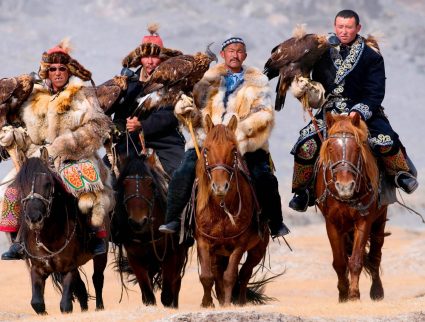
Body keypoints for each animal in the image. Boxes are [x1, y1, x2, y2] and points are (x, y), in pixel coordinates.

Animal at [14, 150, 107, 314]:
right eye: (21, 185)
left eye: (47, 184)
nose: (34, 219)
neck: (49, 236)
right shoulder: (37, 269)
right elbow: (37, 303)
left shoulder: (68, 268)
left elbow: (65, 305)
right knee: (82, 289)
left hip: (101, 255)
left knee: (97, 279)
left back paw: (99, 308)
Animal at [111, 155, 189, 308]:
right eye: (124, 184)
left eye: (151, 184)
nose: (138, 222)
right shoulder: (135, 259)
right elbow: (148, 297)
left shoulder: (170, 256)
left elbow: (167, 295)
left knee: (176, 284)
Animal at [195, 115, 268, 306]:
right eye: (206, 149)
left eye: (234, 150)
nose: (220, 187)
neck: (221, 210)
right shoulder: (203, 242)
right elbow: (207, 276)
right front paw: (207, 304)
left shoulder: (239, 245)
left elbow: (230, 276)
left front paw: (228, 304)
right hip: (218, 253)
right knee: (217, 274)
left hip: (257, 250)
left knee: (245, 274)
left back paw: (241, 301)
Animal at [314, 113, 388, 302]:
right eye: (330, 148)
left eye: (357, 148)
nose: (345, 187)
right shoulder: (332, 223)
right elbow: (340, 262)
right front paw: (343, 295)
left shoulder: (364, 220)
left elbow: (356, 260)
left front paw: (354, 295)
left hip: (380, 219)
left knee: (376, 255)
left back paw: (377, 291)